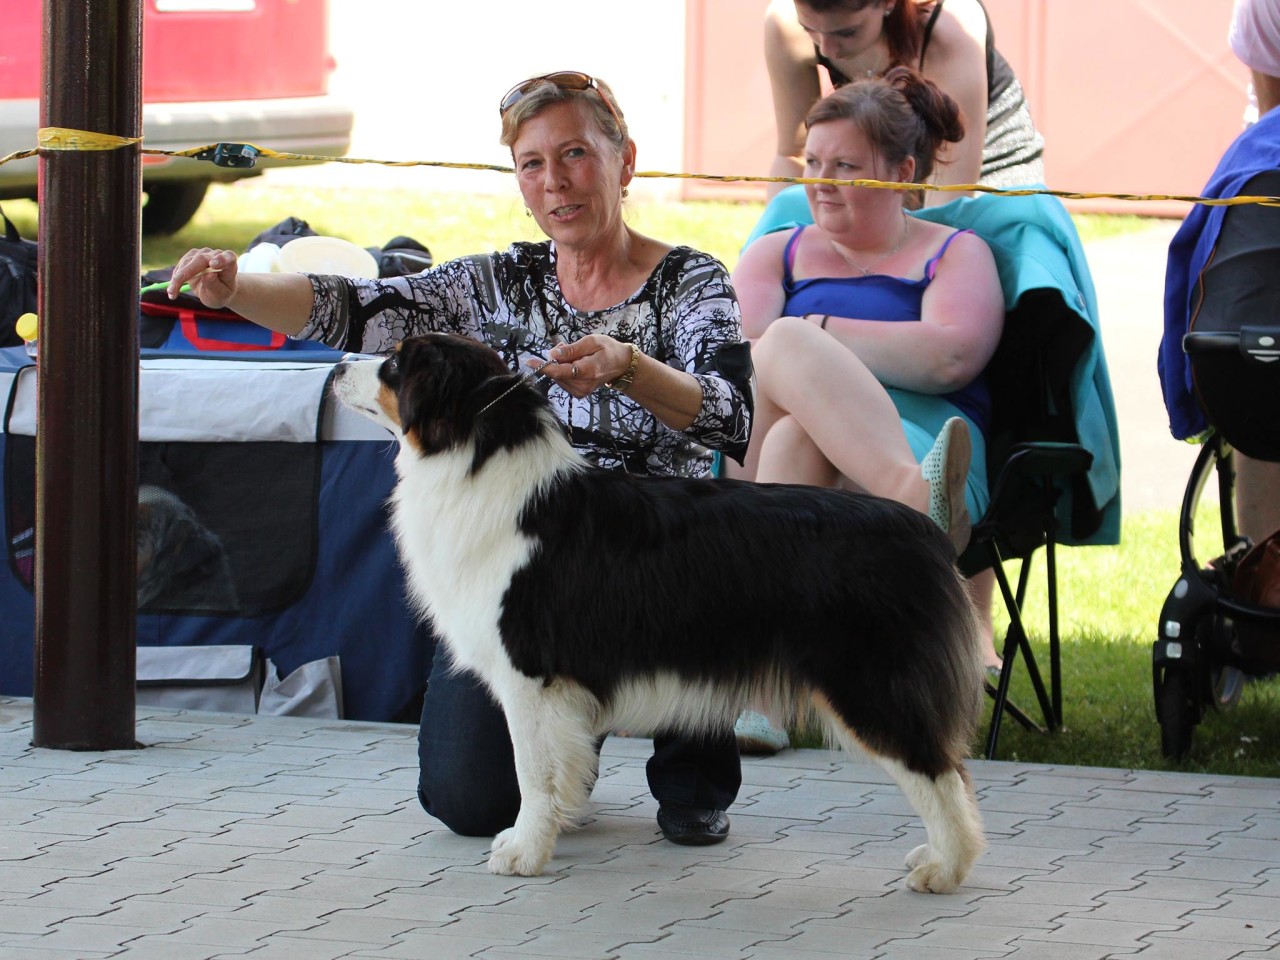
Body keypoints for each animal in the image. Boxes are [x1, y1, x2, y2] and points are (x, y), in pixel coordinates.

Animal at [332, 335, 988, 890]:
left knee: (940, 770)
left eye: (395, 364)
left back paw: (945, 868)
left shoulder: (529, 673)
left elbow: (531, 772)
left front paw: (523, 851)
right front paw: (557, 826)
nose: (337, 367)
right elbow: (559, 768)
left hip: (869, 680)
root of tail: (924, 531)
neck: (476, 454)